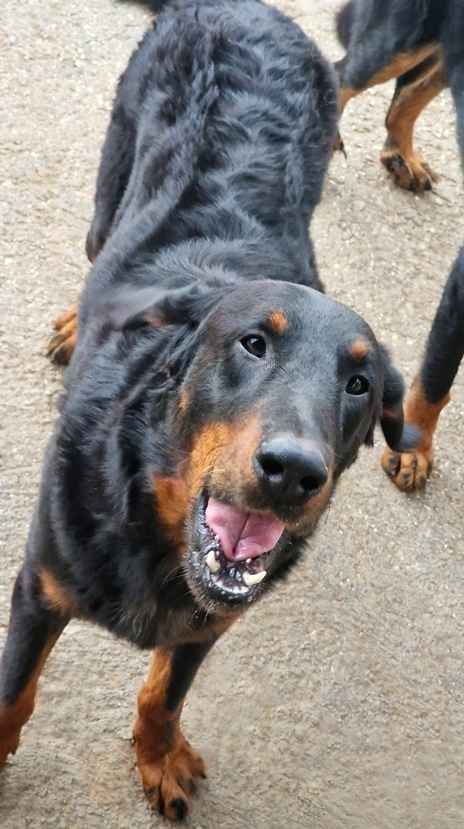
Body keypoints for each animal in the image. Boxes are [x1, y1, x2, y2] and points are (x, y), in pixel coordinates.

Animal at [0, 0, 416, 820]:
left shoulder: (213, 616)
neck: (147, 517)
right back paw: (72, 323)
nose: (293, 472)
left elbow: (167, 692)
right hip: (111, 181)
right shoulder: (38, 581)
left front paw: (158, 755)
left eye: (360, 384)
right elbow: (12, 697)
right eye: (252, 342)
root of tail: (248, 8)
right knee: (95, 247)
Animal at [336, 0, 464, 492]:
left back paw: (402, 156)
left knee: (405, 98)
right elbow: (436, 376)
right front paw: (414, 449)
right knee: (342, 75)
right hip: (399, 40)